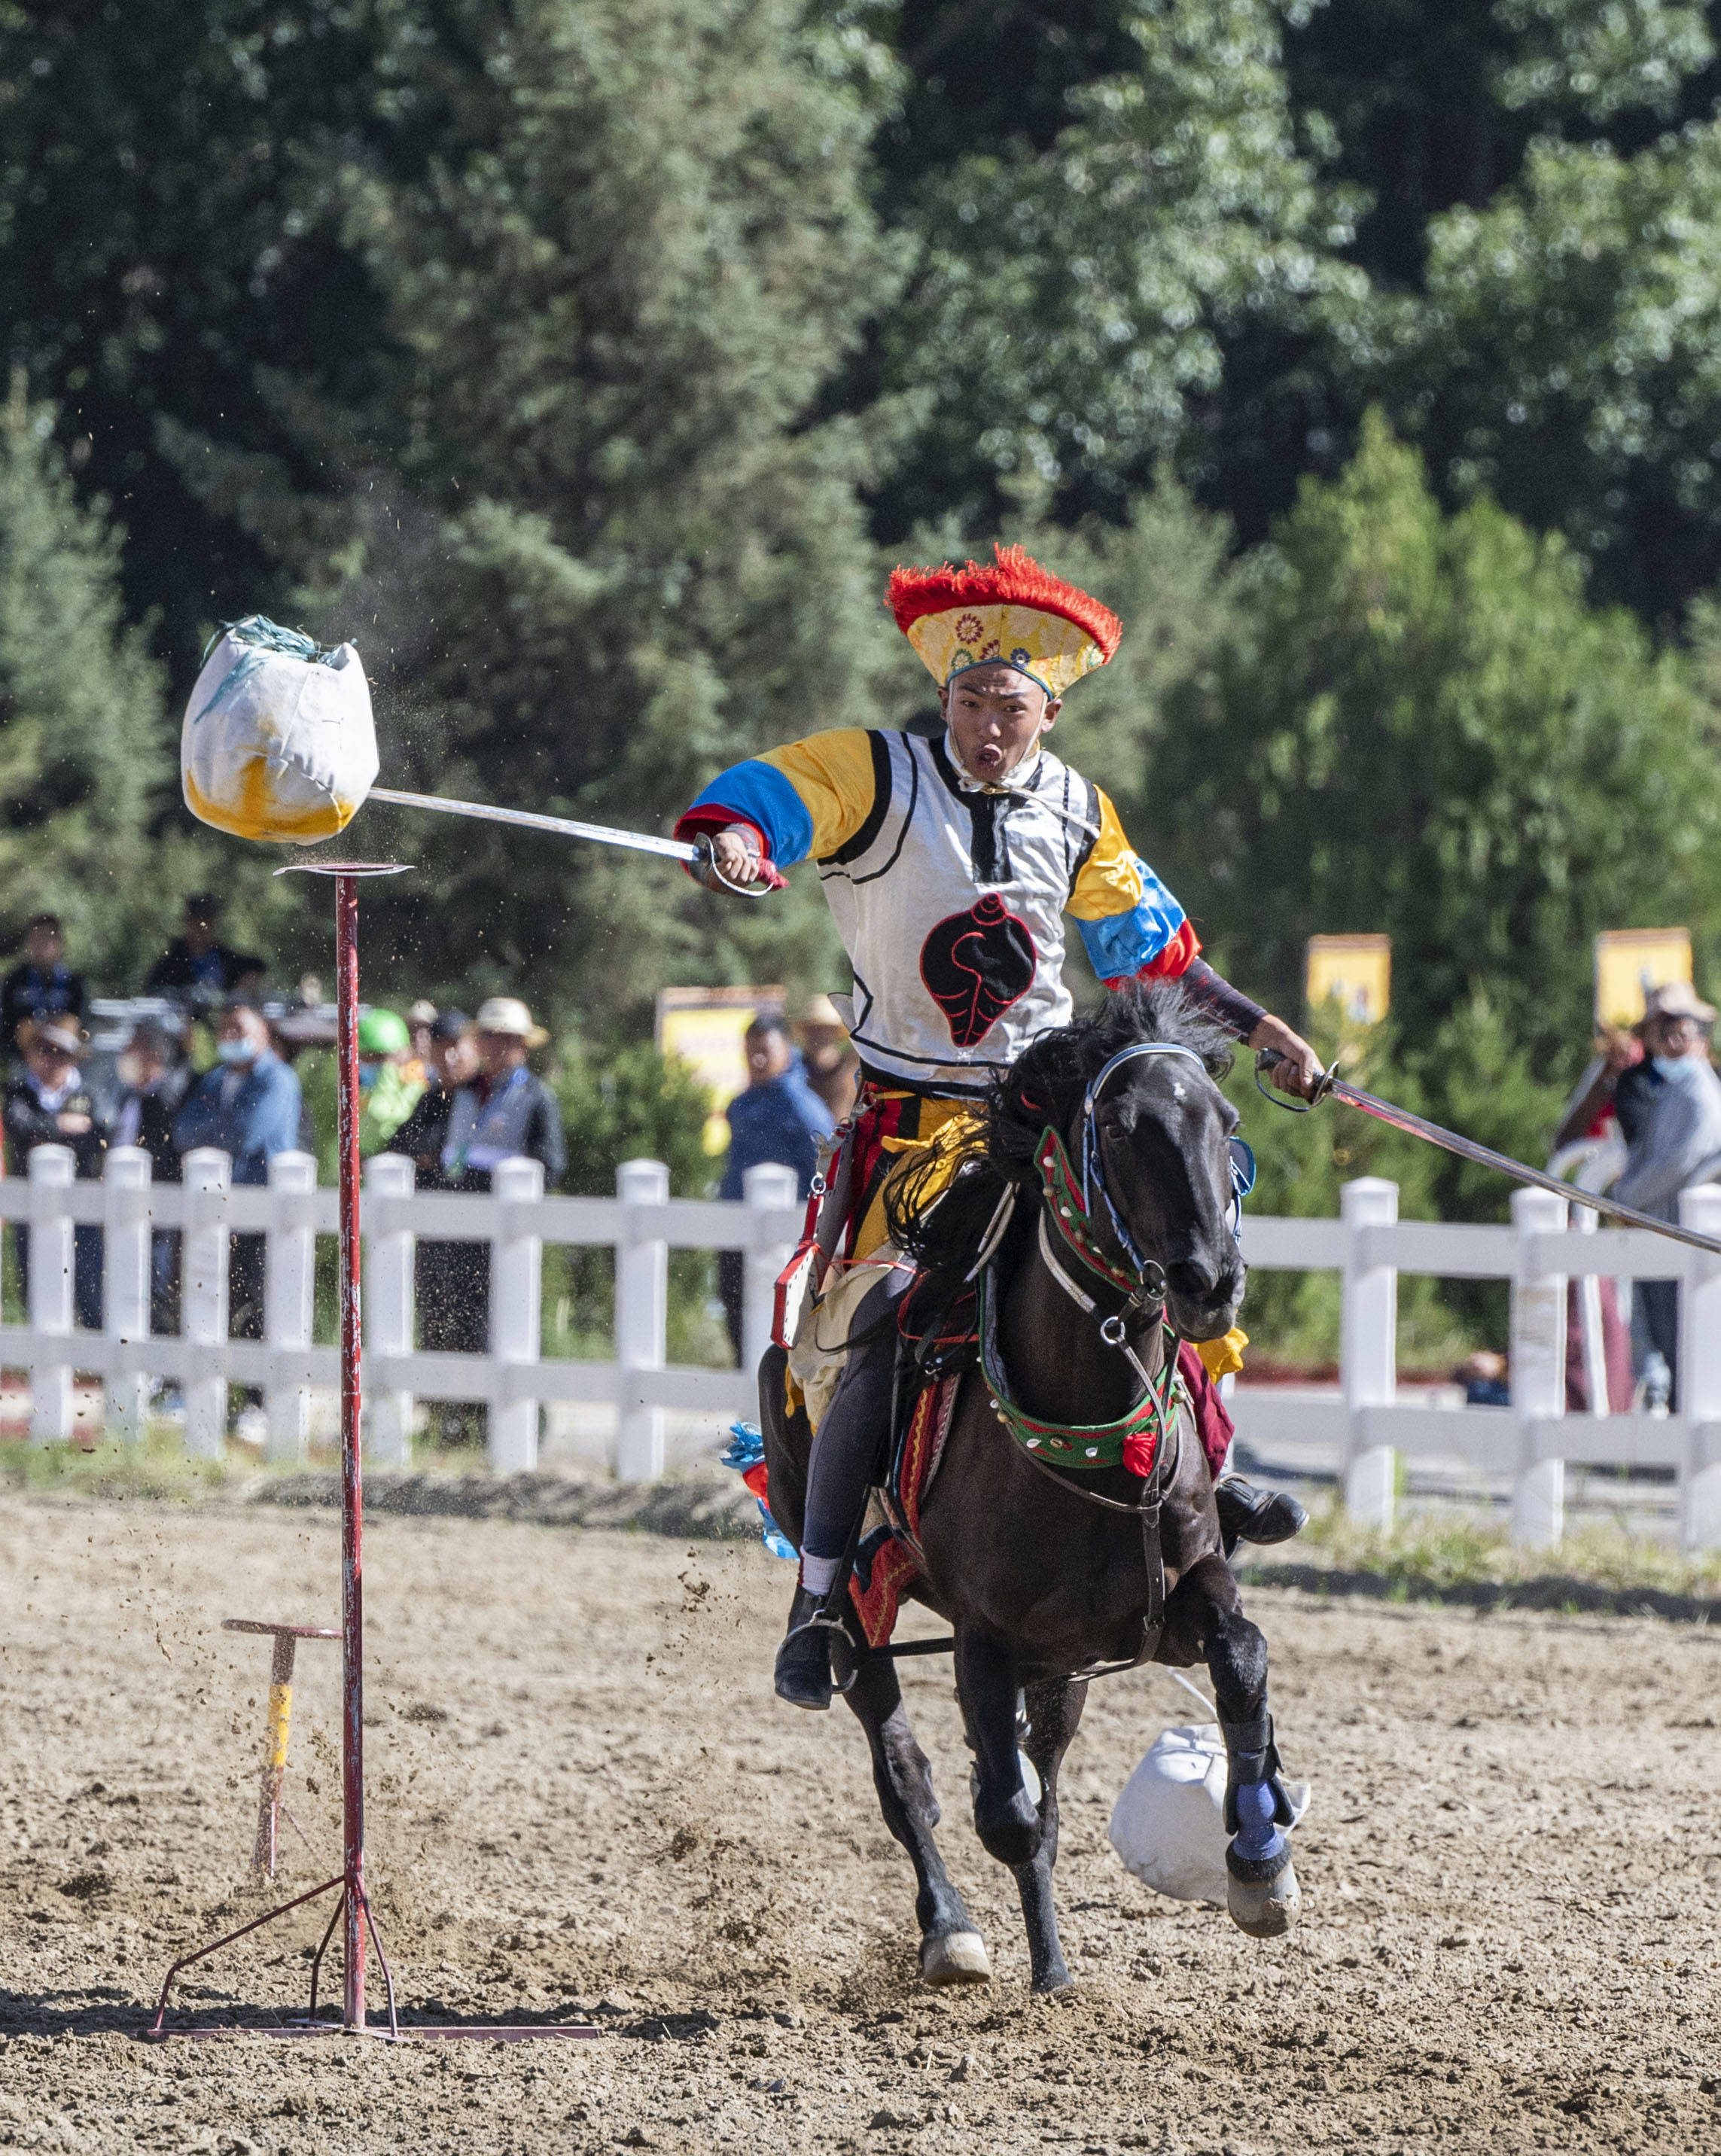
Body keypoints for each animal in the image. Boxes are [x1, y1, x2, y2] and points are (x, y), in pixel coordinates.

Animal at [763, 987, 1302, 1992]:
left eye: (1226, 1120)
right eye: (1122, 1128)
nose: (1211, 1280)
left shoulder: (1173, 1600)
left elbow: (1242, 1663)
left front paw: (1259, 1859)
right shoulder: (985, 1637)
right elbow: (1003, 1811)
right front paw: (1028, 1953)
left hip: (1063, 1662)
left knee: (1035, 1776)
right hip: (860, 1602)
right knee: (905, 1770)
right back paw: (952, 1929)